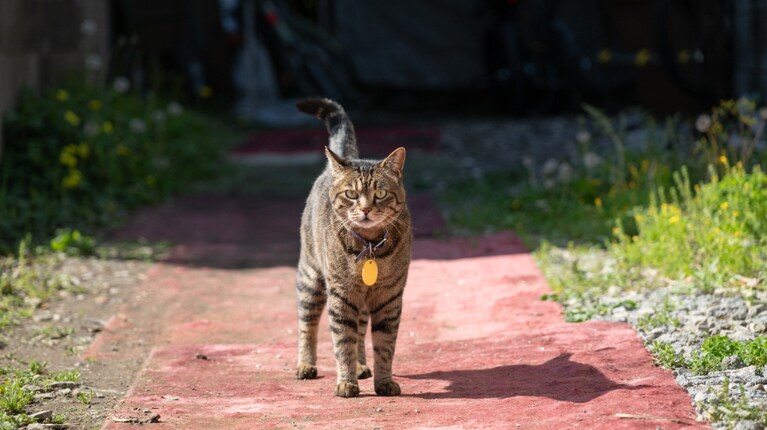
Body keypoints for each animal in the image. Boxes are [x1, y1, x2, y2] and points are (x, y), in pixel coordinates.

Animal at [294, 96, 414, 396]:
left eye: (380, 193)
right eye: (351, 194)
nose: (366, 209)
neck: (371, 247)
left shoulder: (389, 296)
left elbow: (384, 344)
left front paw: (383, 381)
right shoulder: (342, 293)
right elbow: (342, 341)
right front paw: (345, 382)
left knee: (360, 329)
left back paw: (361, 366)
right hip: (311, 278)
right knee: (307, 324)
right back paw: (305, 365)